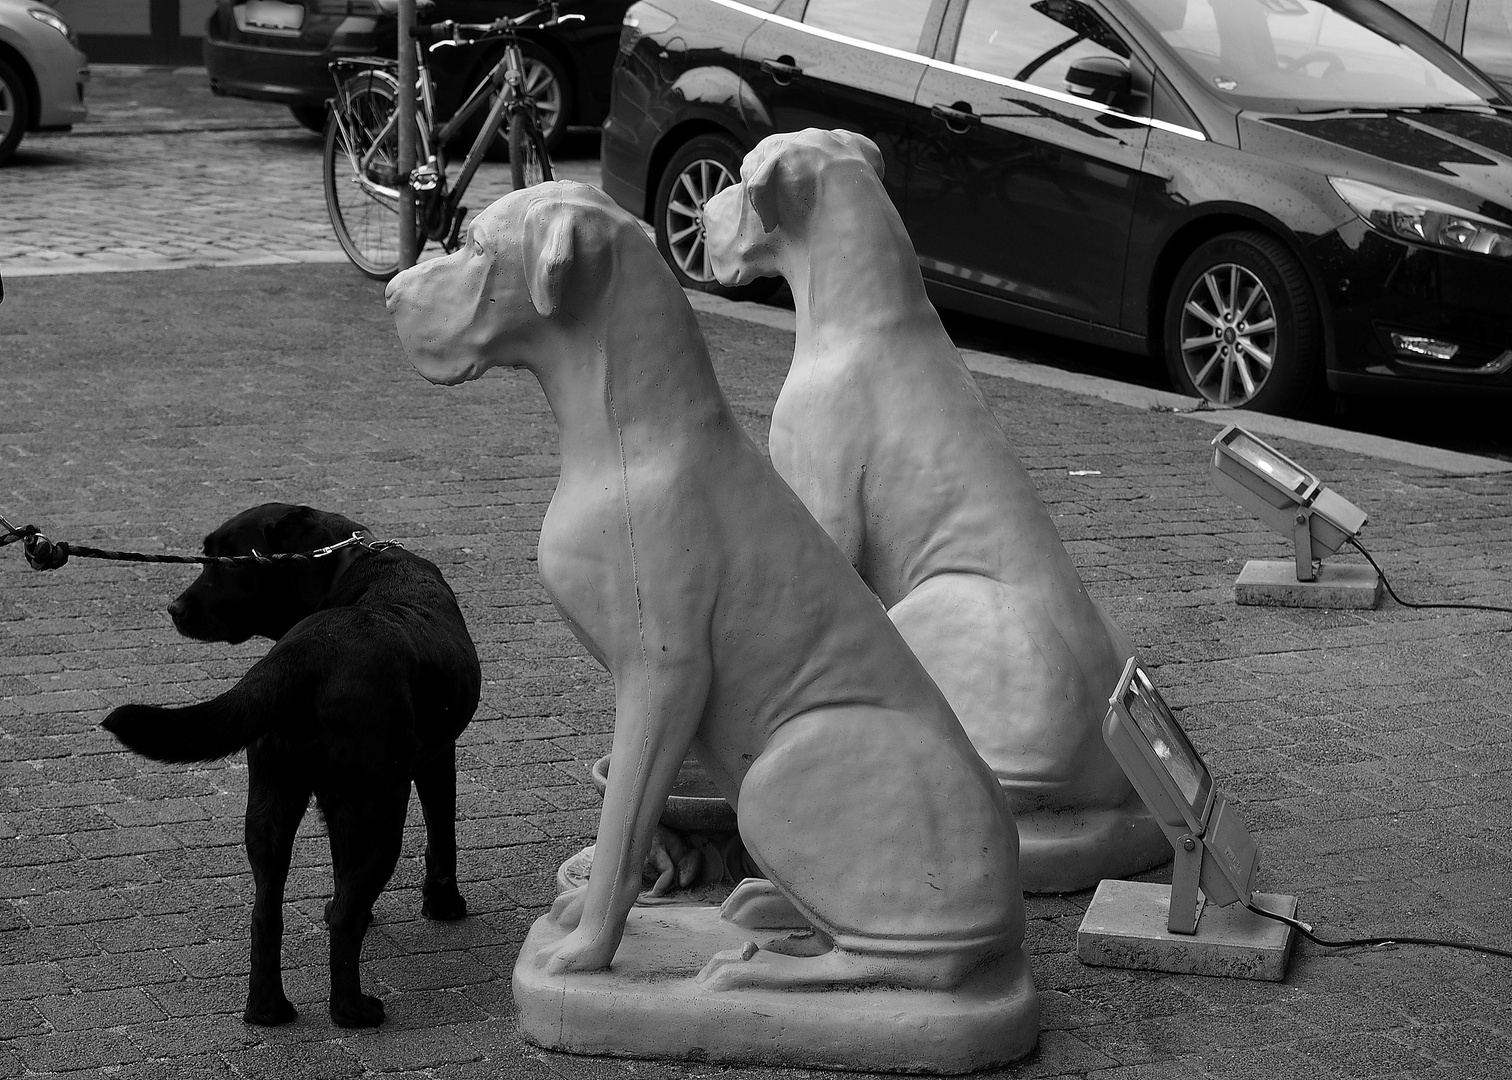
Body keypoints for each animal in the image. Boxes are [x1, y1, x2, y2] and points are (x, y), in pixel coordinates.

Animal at [102, 505, 477, 1028]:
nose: (175, 609)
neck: (353, 561)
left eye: (229, 563)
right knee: (344, 923)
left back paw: (267, 1010)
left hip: (271, 803)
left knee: (265, 914)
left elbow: (340, 873)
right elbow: (442, 836)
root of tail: (308, 651)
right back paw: (353, 1011)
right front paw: (444, 905)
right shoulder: (438, 756)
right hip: (380, 812)